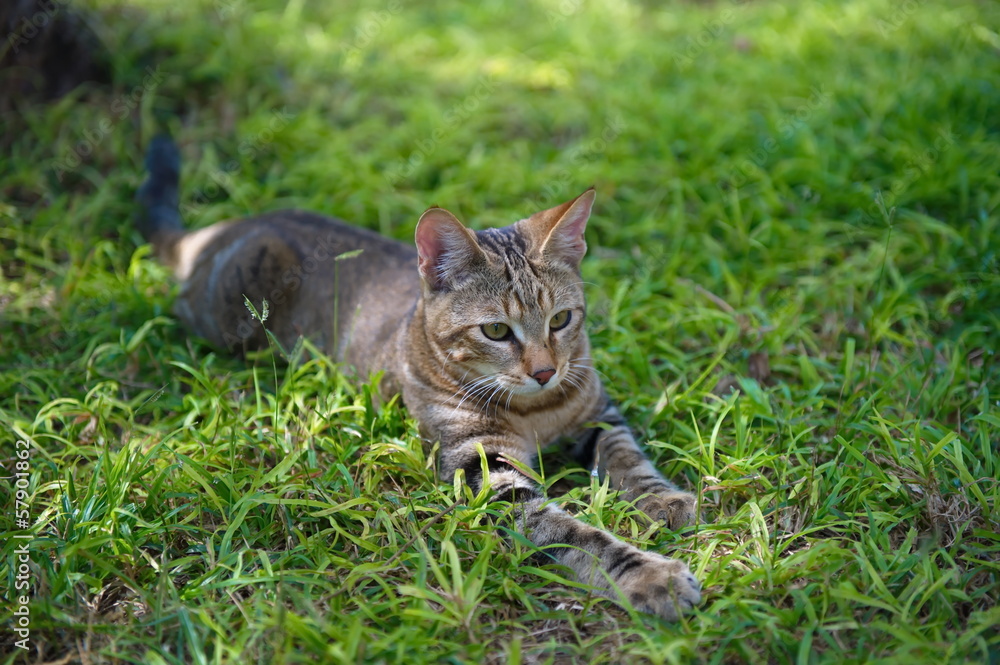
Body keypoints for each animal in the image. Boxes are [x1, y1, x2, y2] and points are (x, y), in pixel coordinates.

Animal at [137, 134, 704, 616]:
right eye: (496, 330)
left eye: (561, 320)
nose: (545, 371)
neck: (536, 410)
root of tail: (227, 227)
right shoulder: (483, 469)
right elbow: (574, 534)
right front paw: (649, 575)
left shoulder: (597, 413)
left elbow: (625, 454)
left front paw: (663, 499)